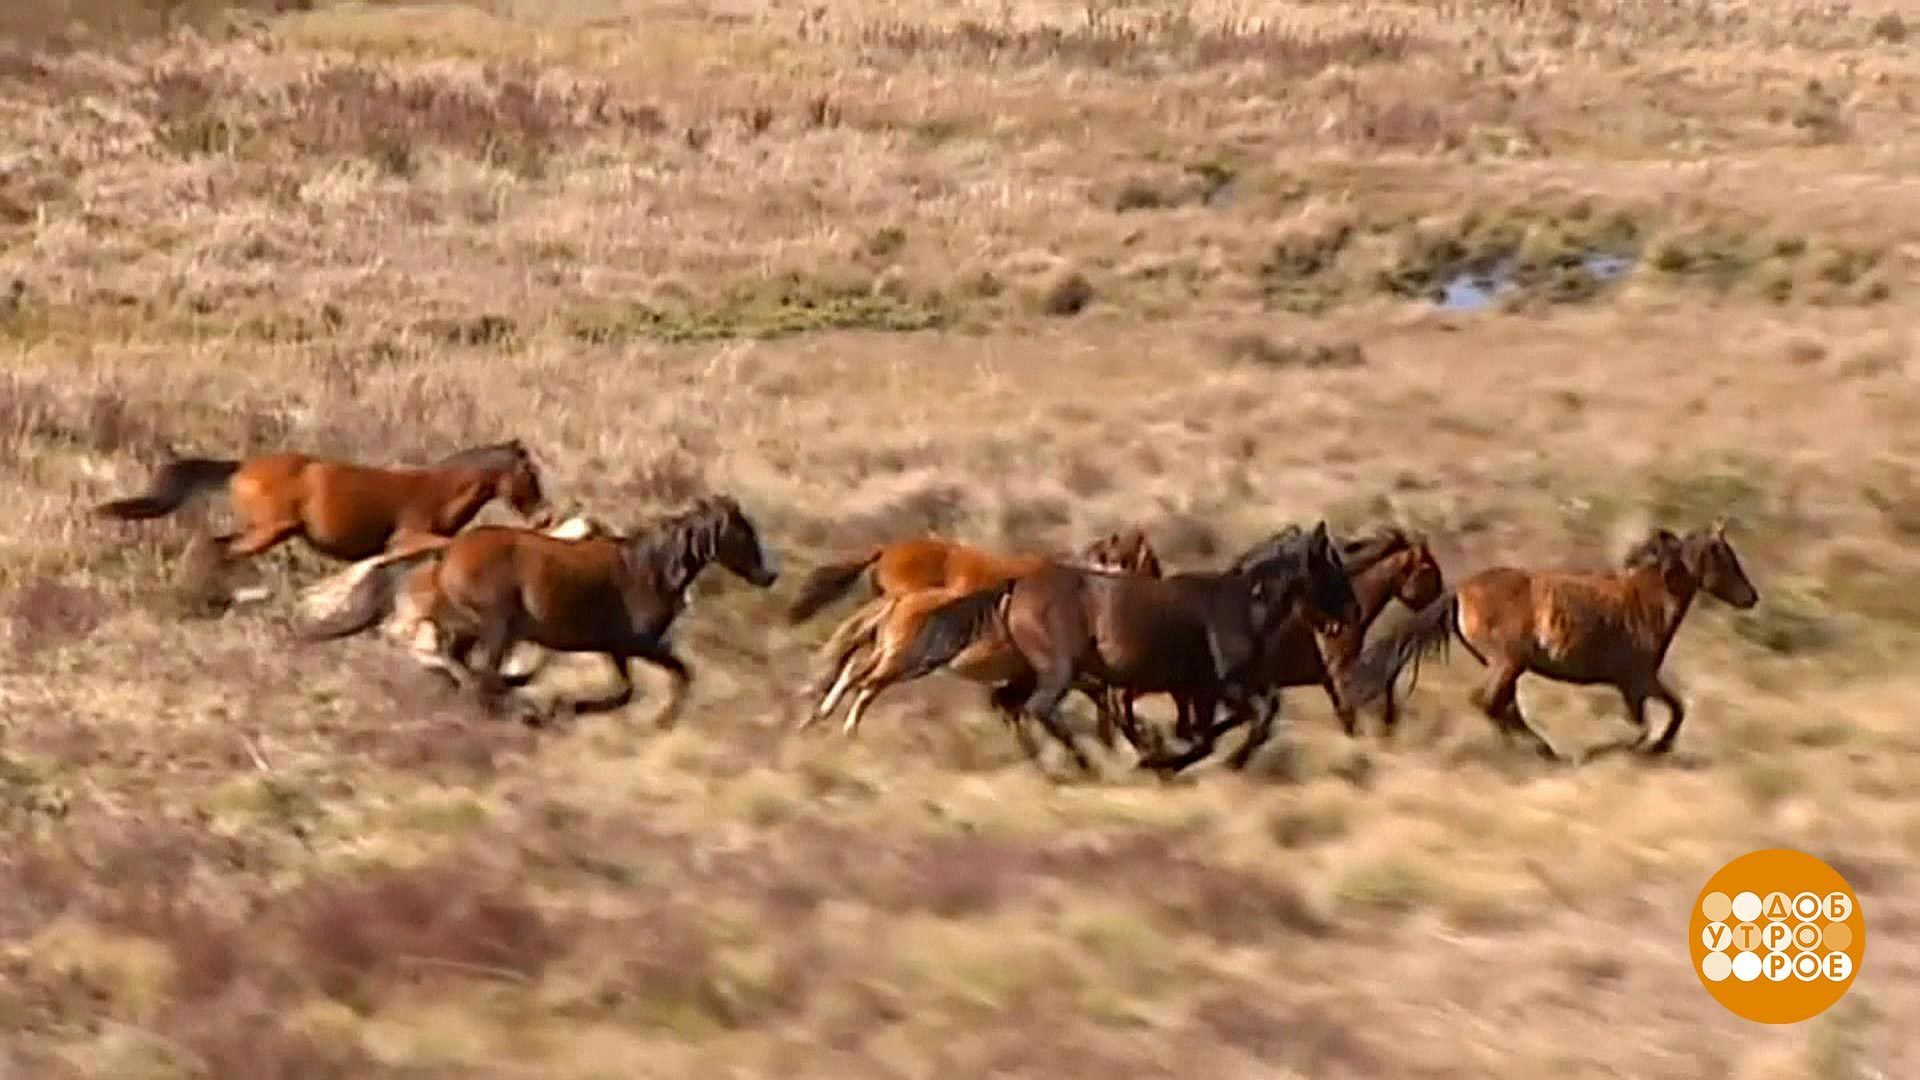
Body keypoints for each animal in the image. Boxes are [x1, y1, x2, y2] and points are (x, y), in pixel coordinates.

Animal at [92, 434, 552, 576]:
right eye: (530, 474)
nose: (546, 517)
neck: (437, 490)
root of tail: (241, 467)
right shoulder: (408, 536)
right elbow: (440, 546)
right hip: (270, 530)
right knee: (224, 549)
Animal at [295, 495, 775, 722]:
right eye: (743, 532)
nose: (769, 576)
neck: (647, 570)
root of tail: (448, 550)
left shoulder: (614, 647)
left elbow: (625, 690)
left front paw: (565, 707)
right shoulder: (635, 643)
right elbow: (676, 674)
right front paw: (661, 721)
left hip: (474, 628)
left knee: (463, 665)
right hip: (497, 626)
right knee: (476, 672)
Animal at [798, 526, 1159, 745]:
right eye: (1149, 563)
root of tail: (887, 550)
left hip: (892, 623)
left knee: (858, 656)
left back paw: (823, 712)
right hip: (898, 628)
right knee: (860, 658)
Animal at [887, 522, 1367, 772]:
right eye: (1330, 567)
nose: (1352, 612)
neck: (1239, 605)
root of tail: (1016, 586)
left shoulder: (1207, 689)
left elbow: (1218, 729)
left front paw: (1163, 757)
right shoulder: (1222, 685)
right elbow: (1244, 723)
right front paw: (1169, 762)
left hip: (1031, 671)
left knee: (1010, 705)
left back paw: (1048, 768)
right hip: (1059, 670)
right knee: (1040, 708)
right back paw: (1084, 767)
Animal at [1336, 518, 1758, 757]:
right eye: (1726, 558)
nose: (1751, 597)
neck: (1647, 599)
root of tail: (1459, 591)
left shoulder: (1636, 684)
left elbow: (1670, 712)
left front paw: (1650, 747)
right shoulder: (1636, 680)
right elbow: (1658, 719)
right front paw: (1639, 748)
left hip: (1507, 666)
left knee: (1504, 707)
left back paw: (1541, 751)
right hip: (1508, 662)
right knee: (1489, 703)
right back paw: (1530, 753)